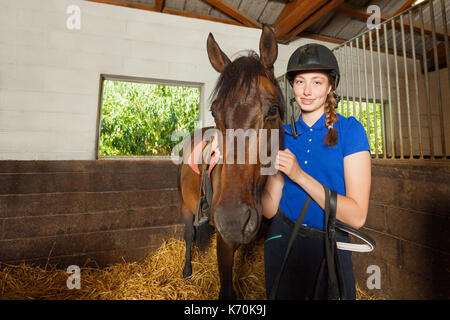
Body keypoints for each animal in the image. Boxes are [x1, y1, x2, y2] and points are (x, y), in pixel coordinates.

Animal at [177, 25, 284, 300]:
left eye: (273, 109)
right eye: (214, 111)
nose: (233, 220)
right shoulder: (224, 242)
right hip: (186, 207)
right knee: (189, 234)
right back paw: (187, 269)